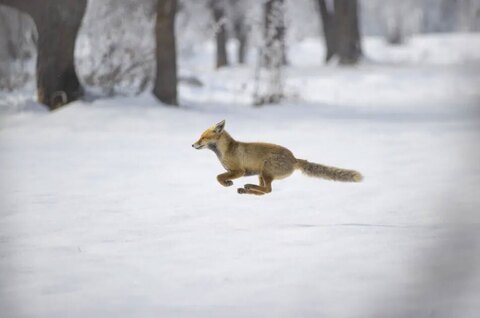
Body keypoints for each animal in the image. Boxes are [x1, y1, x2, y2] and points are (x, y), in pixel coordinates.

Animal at [193, 119, 362, 194]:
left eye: (203, 138)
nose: (192, 145)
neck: (226, 150)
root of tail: (294, 159)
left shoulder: (239, 171)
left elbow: (218, 177)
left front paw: (226, 183)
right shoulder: (235, 171)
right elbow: (220, 176)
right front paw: (227, 183)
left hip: (266, 170)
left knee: (268, 190)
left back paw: (247, 187)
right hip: (261, 174)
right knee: (265, 191)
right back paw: (247, 189)